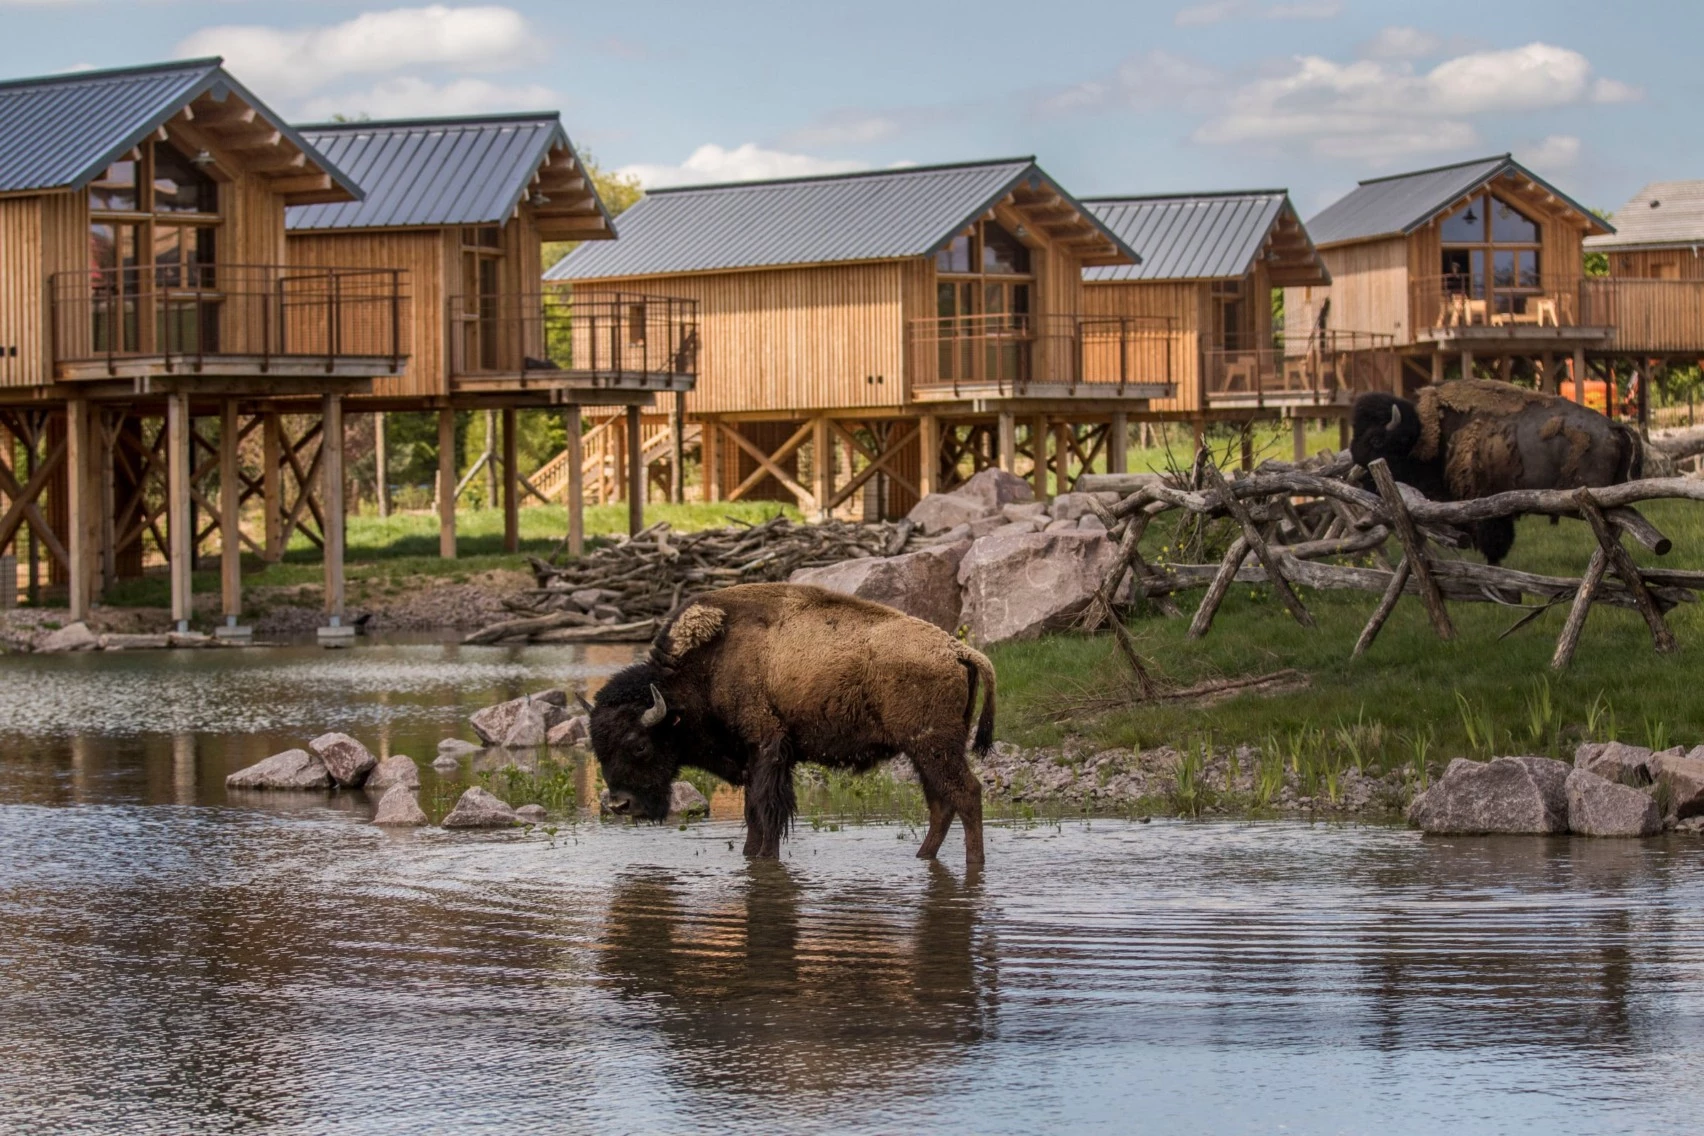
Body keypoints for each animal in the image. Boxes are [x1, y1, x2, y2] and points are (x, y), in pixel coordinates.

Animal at [586, 585, 995, 872]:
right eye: (598, 747)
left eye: (639, 745)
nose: (620, 804)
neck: (710, 665)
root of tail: (958, 650)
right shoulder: (754, 760)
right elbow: (753, 813)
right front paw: (750, 854)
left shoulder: (768, 748)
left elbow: (767, 809)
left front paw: (765, 858)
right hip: (925, 752)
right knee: (942, 803)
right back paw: (923, 857)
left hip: (934, 747)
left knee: (966, 795)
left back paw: (974, 863)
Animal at [1349, 379, 1642, 562]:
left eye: (1376, 440)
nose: (1362, 475)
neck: (1427, 435)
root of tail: (1614, 426)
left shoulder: (1480, 503)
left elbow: (1492, 538)